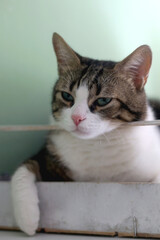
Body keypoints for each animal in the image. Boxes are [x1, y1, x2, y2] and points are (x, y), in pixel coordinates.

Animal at [10, 32, 160, 236]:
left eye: (103, 100)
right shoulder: (50, 157)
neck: (96, 144)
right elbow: (24, 167)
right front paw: (27, 218)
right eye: (67, 96)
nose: (76, 117)